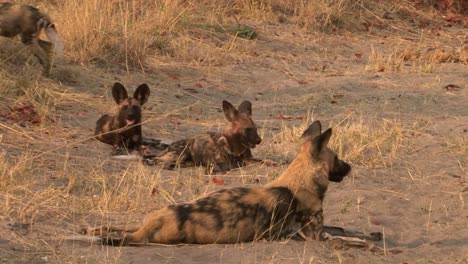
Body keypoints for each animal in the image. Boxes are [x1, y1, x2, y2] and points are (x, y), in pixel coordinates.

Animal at [87, 121, 380, 245]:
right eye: (337, 158)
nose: (350, 167)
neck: (300, 182)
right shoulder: (315, 235)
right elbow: (345, 238)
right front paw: (366, 244)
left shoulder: (322, 227)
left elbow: (348, 229)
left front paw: (373, 235)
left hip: (147, 219)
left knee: (120, 228)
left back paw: (96, 229)